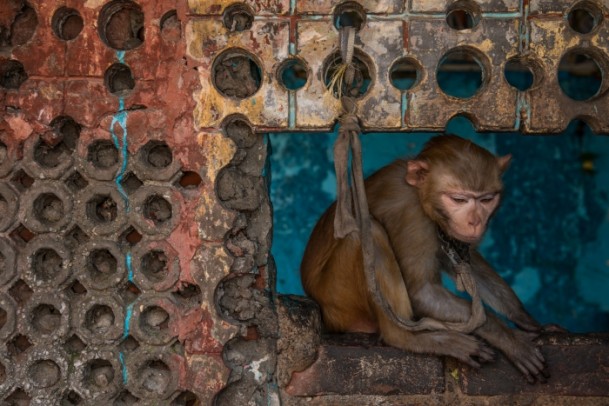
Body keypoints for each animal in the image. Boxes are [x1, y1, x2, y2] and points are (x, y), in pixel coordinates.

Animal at [302, 135, 548, 382]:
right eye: (459, 199)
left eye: (486, 199)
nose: (475, 222)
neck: (420, 193)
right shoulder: (413, 216)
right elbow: (421, 293)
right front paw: (508, 338)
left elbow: (460, 260)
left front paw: (524, 318)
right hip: (339, 298)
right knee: (367, 232)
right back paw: (408, 338)